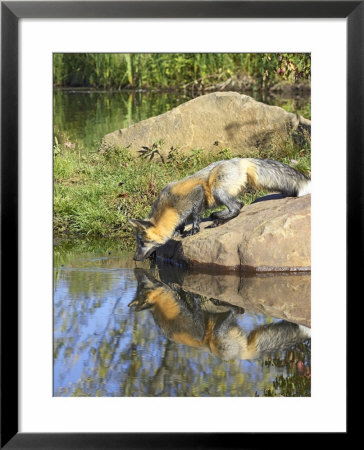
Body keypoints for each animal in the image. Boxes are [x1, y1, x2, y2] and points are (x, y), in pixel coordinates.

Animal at [128, 157, 310, 260]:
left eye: (143, 242)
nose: (134, 259)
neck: (169, 207)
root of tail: (240, 159)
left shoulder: (197, 194)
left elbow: (196, 216)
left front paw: (193, 230)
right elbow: (182, 223)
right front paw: (179, 231)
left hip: (218, 191)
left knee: (236, 208)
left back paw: (219, 220)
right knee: (240, 205)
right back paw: (218, 217)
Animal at [128, 270, 310, 362]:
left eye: (141, 284)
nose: (137, 269)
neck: (165, 310)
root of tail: (241, 355)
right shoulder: (197, 325)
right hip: (218, 334)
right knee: (234, 313)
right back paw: (230, 306)